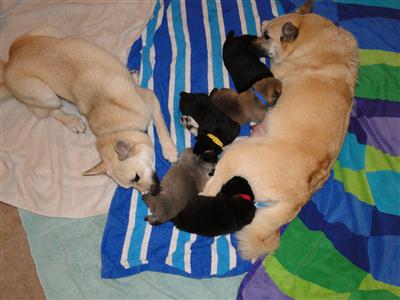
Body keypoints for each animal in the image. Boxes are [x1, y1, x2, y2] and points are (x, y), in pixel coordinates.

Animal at [1, 27, 177, 192]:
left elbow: (161, 126)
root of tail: (9, 63)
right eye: (131, 185)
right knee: (47, 111)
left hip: (54, 34)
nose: (153, 192)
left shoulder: (150, 98)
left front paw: (169, 149)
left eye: (136, 177)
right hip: (45, 94)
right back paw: (73, 122)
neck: (115, 129)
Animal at [200, 0, 360, 260]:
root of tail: (299, 199)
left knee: (213, 186)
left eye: (266, 35)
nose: (247, 43)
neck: (312, 38)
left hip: (238, 154)